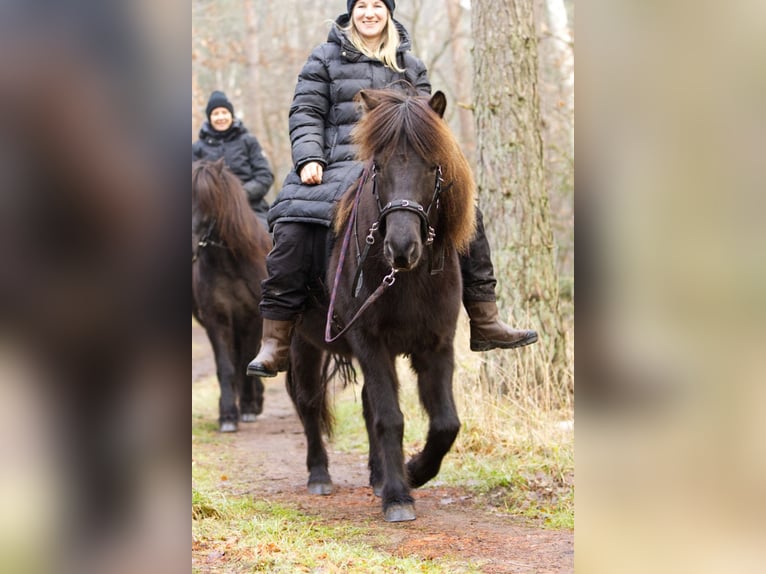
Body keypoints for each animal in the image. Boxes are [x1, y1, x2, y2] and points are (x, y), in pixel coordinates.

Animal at [192, 160, 272, 434]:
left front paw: (246, 408)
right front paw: (227, 415)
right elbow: (225, 367)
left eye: (208, 199)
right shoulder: (217, 320)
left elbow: (247, 359)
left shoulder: (252, 318)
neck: (229, 262)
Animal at [288, 89, 480, 520]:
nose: (402, 249)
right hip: (301, 344)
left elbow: (446, 422)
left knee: (364, 404)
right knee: (309, 403)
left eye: (434, 166)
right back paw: (319, 475)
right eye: (377, 166)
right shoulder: (370, 342)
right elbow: (389, 418)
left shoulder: (436, 345)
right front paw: (397, 496)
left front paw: (414, 471)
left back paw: (377, 475)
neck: (404, 280)